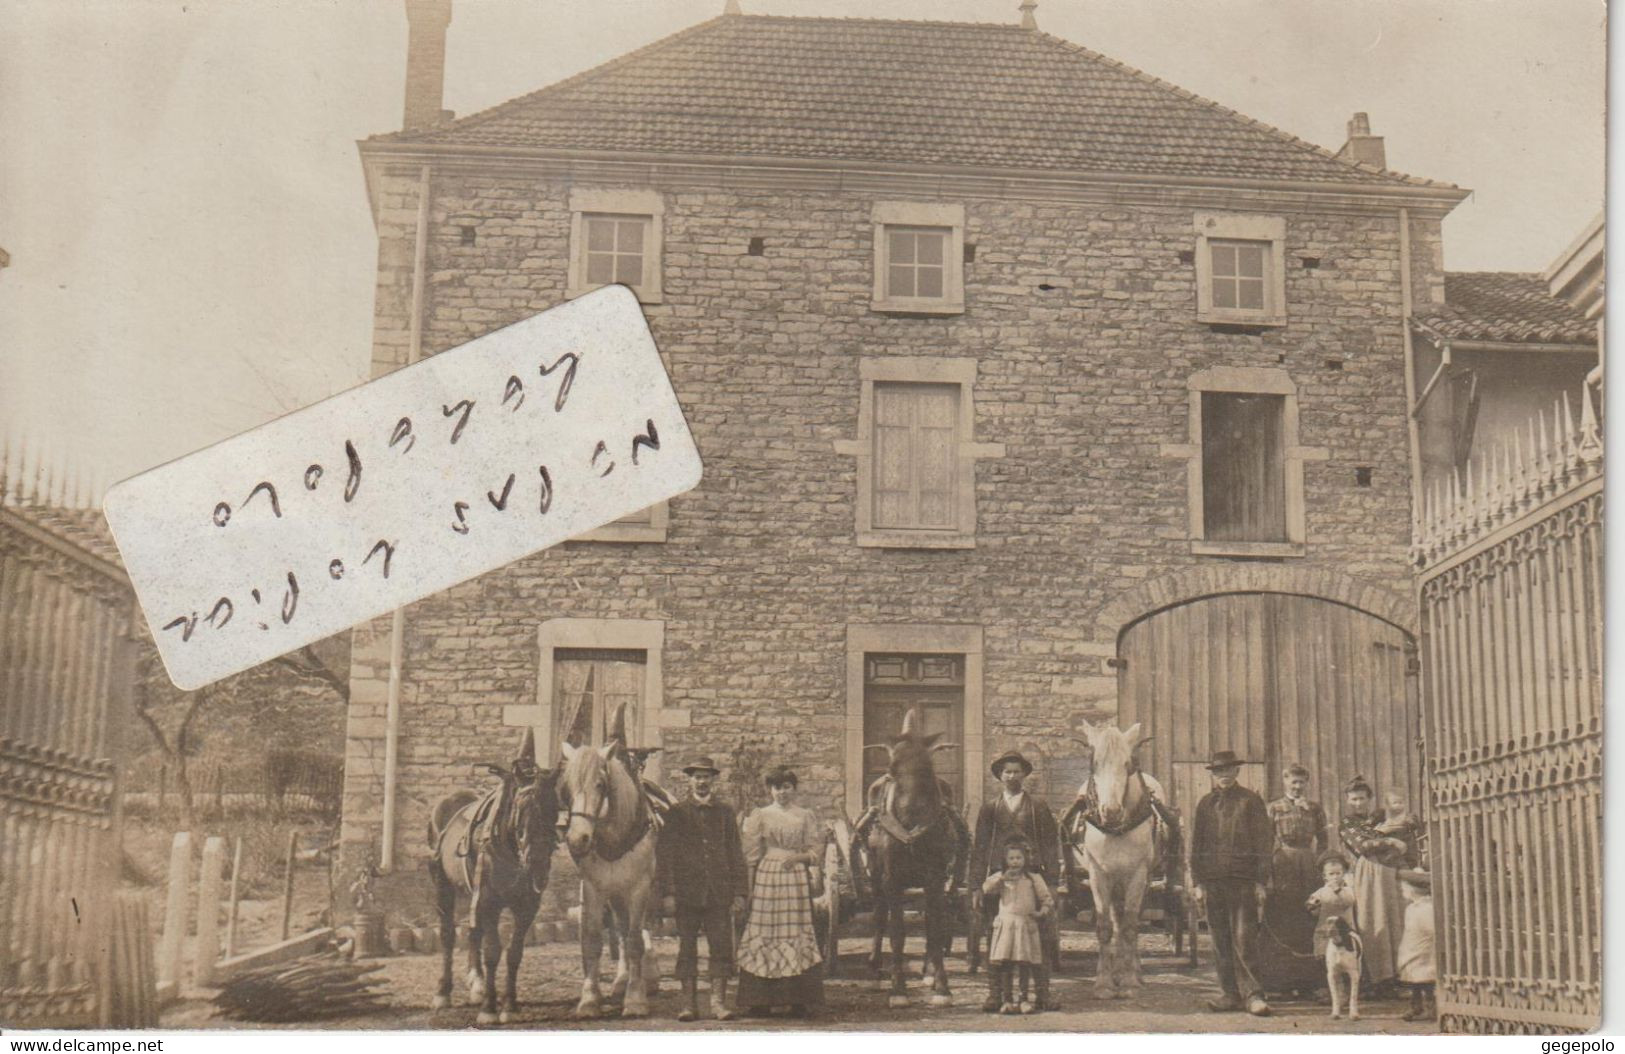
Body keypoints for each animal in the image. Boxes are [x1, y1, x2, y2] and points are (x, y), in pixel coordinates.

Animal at [429, 730, 562, 1019]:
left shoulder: (527, 906)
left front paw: (509, 1004)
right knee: (447, 935)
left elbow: (514, 952)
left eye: (554, 808)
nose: (537, 865)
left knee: (473, 932)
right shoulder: (489, 901)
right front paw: (489, 1008)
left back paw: (476, 983)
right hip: (443, 887)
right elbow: (492, 951)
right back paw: (443, 992)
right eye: (521, 808)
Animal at [559, 701, 659, 1013]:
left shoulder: (640, 888)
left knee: (630, 933)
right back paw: (620, 981)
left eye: (601, 784)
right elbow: (592, 939)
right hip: (615, 894)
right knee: (621, 930)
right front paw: (590, 998)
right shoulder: (594, 888)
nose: (577, 839)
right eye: (566, 788)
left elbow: (636, 940)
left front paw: (636, 998)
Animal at [871, 701, 968, 1006]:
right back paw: (876, 967)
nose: (911, 821)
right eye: (891, 768)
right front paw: (898, 988)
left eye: (929, 768)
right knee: (879, 916)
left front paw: (941, 986)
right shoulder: (891, 879)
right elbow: (897, 932)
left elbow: (935, 929)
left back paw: (928, 971)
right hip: (876, 879)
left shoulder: (935, 879)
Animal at [1059, 717, 1176, 1000]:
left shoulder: (1138, 875)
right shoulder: (1098, 875)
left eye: (1128, 764)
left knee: (1129, 920)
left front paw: (1130, 980)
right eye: (1094, 763)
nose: (1110, 811)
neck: (1115, 828)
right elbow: (1104, 926)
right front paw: (1103, 982)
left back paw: (1133, 971)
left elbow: (1131, 925)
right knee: (1115, 918)